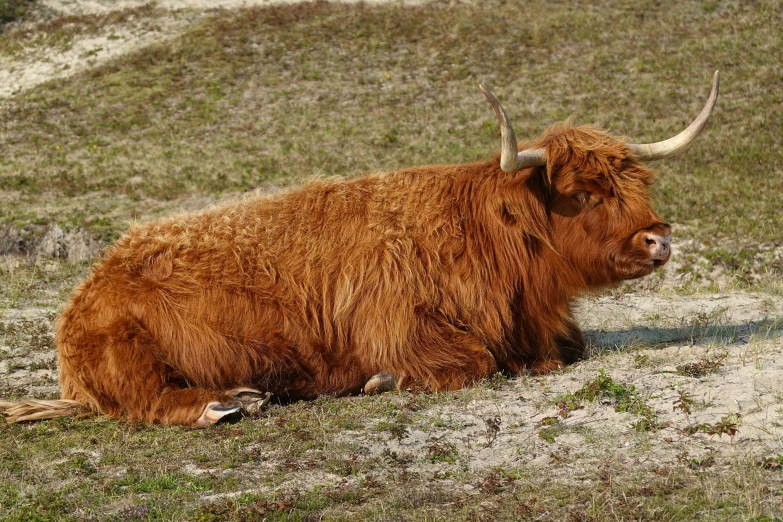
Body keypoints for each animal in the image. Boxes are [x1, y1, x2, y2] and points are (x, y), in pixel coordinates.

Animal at [0, 71, 720, 424]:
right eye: (584, 191)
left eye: (636, 182)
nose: (657, 238)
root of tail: (88, 287)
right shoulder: (399, 326)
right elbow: (470, 362)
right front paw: (383, 381)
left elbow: (567, 350)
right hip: (131, 357)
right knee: (150, 403)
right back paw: (223, 405)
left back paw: (249, 395)